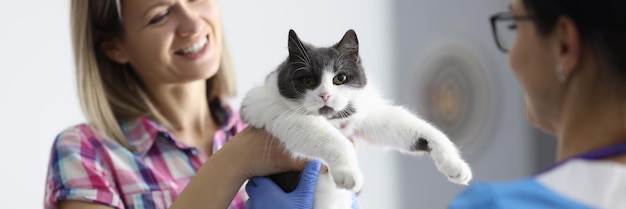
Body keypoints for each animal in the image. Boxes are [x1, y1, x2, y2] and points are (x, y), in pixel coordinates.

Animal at [241, 29, 470, 207]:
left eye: (340, 78)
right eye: (307, 80)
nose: (325, 95)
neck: (333, 119)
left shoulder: (367, 114)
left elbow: (405, 125)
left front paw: (455, 164)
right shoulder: (277, 112)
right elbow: (330, 137)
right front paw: (349, 173)